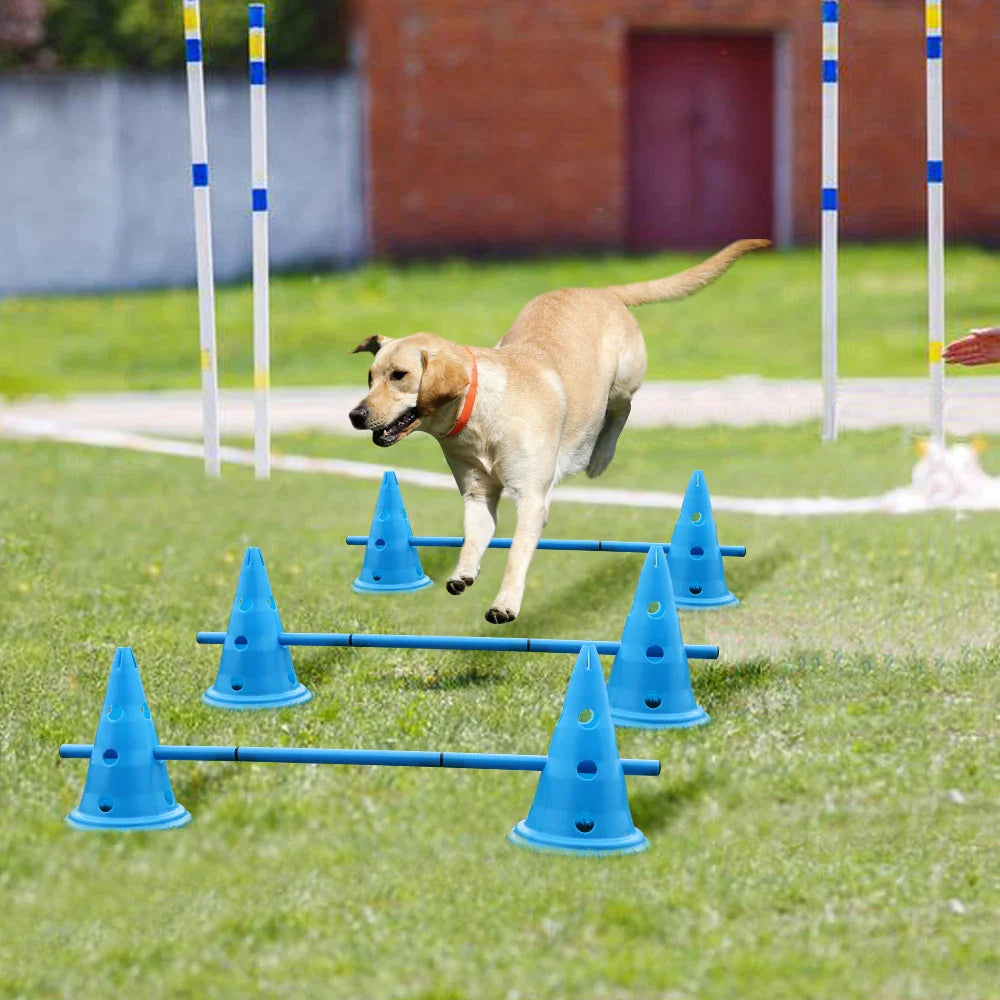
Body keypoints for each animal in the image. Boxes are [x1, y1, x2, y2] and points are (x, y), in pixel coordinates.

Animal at [348, 237, 768, 620]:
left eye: (399, 375)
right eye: (369, 377)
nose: (355, 415)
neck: (480, 413)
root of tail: (601, 291)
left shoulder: (531, 499)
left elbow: (517, 554)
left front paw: (504, 604)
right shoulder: (478, 494)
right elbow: (472, 538)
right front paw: (462, 573)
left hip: (621, 379)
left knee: (622, 408)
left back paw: (599, 457)